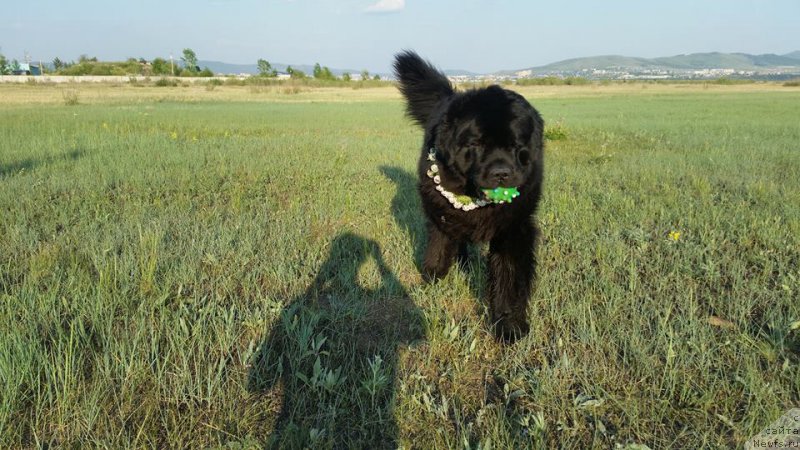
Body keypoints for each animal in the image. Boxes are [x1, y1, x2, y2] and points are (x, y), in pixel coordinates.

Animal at [392, 51, 544, 342]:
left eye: (515, 145)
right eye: (477, 144)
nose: (501, 173)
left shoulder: (513, 228)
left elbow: (509, 276)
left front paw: (509, 326)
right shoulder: (442, 213)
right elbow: (439, 246)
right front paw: (433, 278)